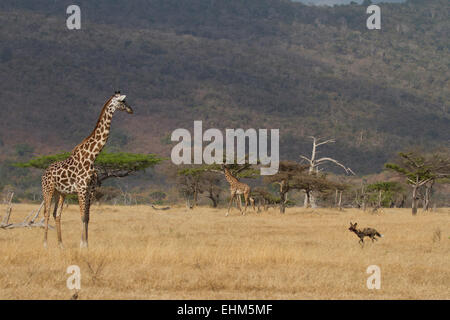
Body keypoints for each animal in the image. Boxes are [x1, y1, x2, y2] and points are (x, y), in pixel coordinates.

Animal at [40, 91, 133, 249]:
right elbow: (82, 216)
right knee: (46, 213)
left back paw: (61, 245)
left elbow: (88, 217)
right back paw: (45, 244)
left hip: (61, 193)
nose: (131, 110)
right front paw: (82, 244)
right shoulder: (81, 188)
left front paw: (87, 244)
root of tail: (44, 173)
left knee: (56, 214)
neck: (91, 157)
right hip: (48, 190)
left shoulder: (91, 189)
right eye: (123, 101)